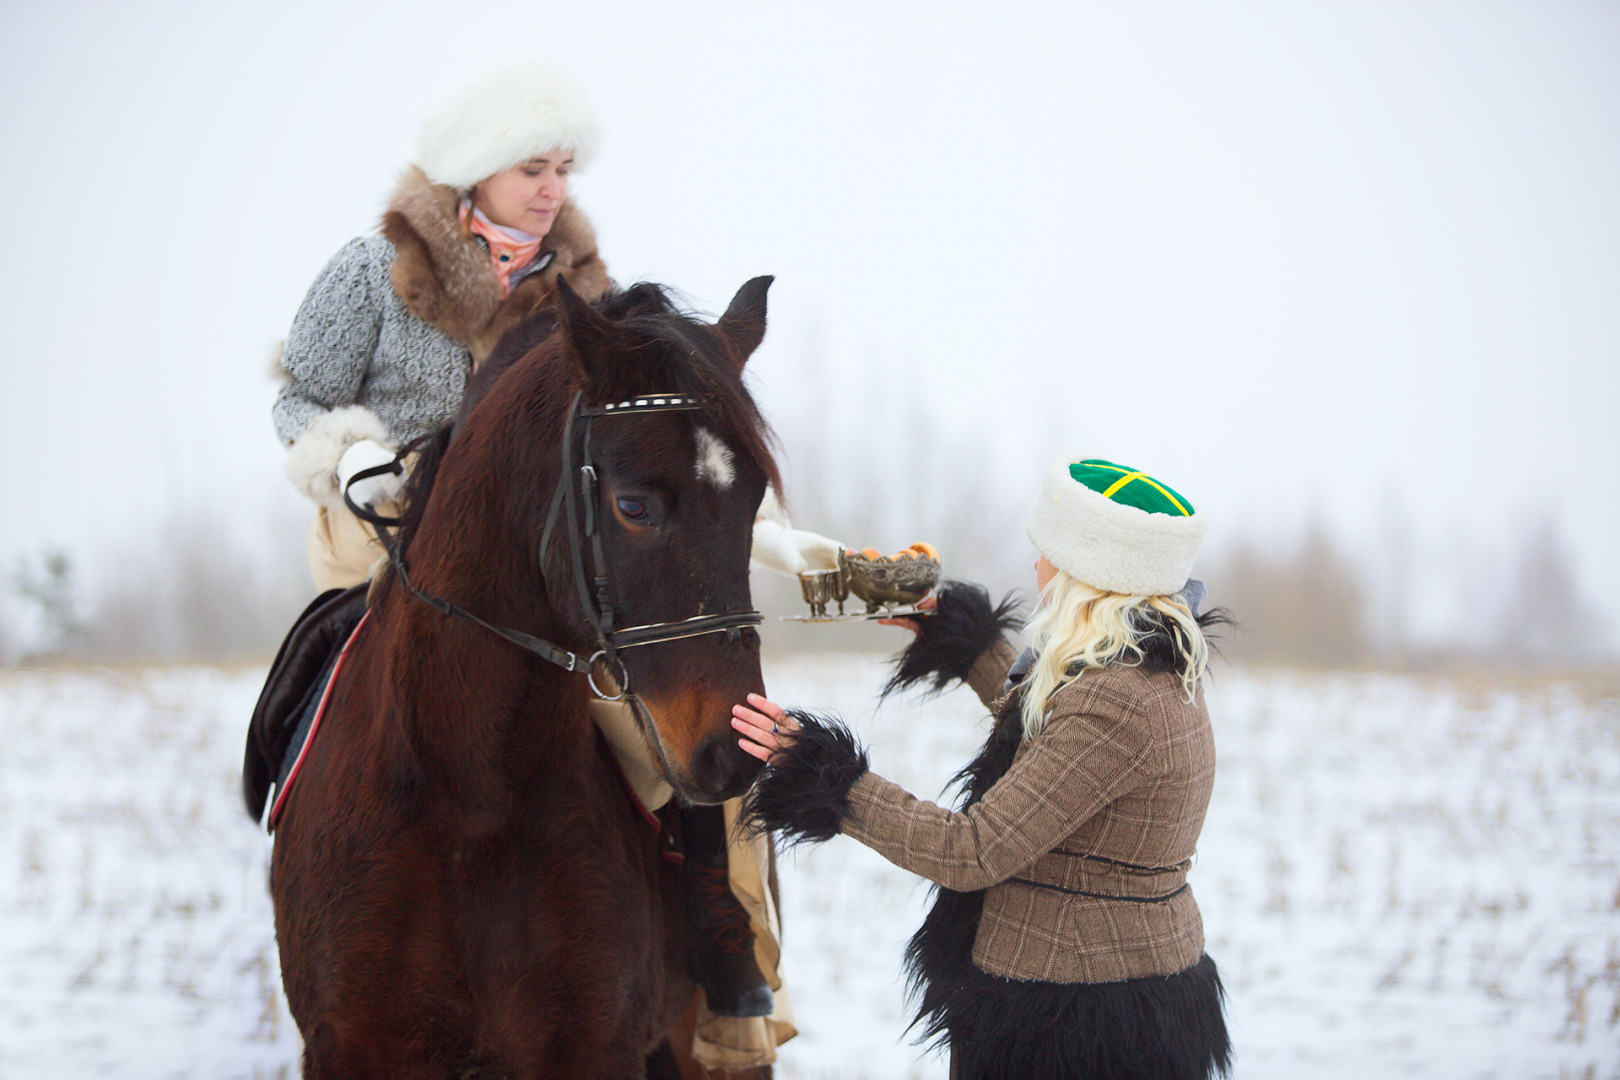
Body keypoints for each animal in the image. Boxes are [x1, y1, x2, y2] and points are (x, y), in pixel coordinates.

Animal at [270, 275, 784, 1075]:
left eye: (754, 501)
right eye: (632, 504)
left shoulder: (591, 1047)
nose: (733, 750)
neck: (471, 792)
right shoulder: (353, 1048)